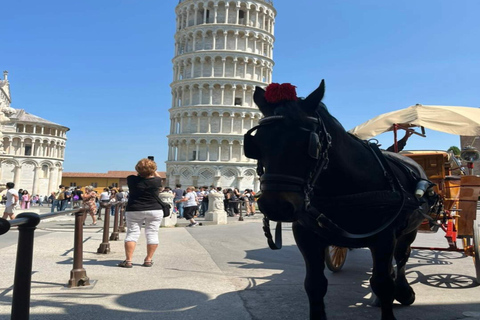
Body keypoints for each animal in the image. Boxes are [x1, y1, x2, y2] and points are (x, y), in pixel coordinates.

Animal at [244, 82, 436, 320]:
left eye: (310, 144)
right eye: (256, 143)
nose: (276, 206)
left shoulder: (384, 237)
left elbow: (383, 283)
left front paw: (391, 295)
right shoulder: (306, 235)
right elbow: (314, 284)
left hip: (410, 229)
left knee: (402, 257)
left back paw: (403, 291)